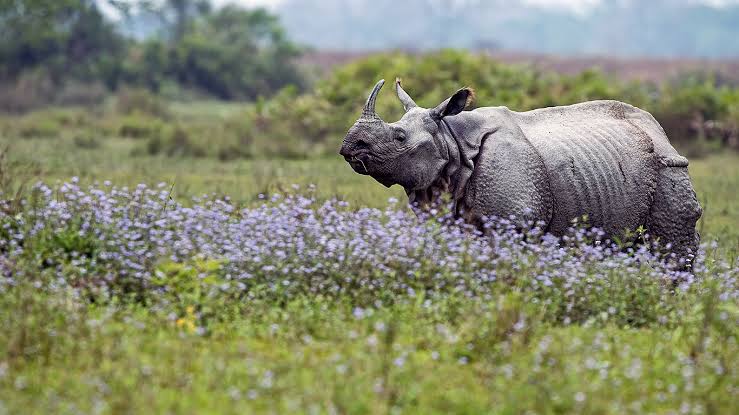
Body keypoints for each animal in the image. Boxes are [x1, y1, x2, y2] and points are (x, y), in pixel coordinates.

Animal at [339, 79, 703, 261]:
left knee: (670, 247)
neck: (451, 141)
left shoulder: (514, 223)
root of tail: (660, 133)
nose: (349, 146)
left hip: (669, 167)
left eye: (399, 137)